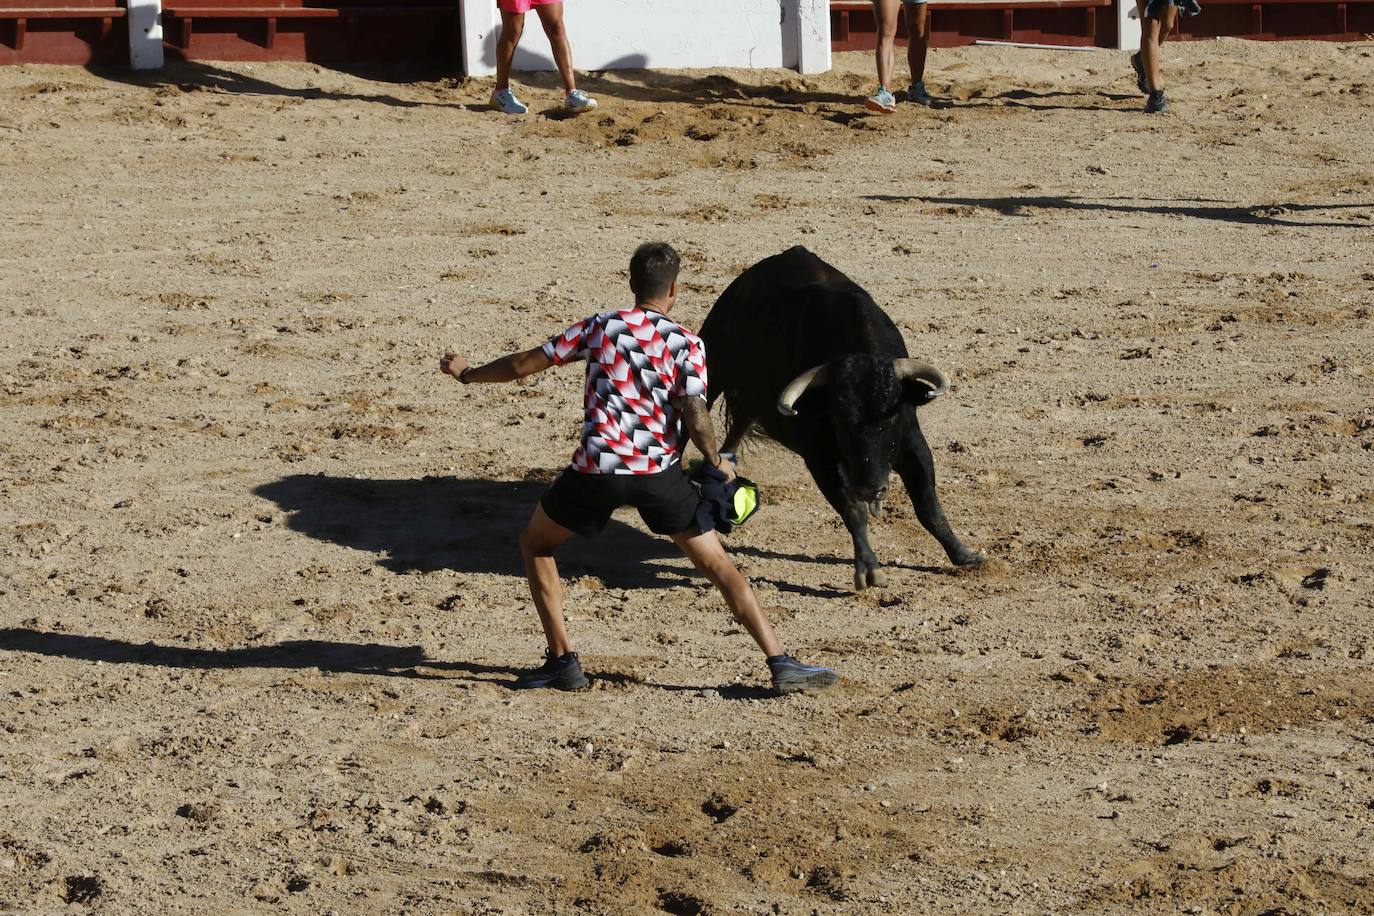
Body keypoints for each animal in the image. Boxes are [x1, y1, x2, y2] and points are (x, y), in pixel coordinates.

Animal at [697, 247, 989, 590]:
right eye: (837, 418)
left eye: (892, 416)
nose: (870, 488)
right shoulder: (819, 458)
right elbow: (853, 510)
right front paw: (869, 569)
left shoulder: (913, 444)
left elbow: (928, 506)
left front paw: (965, 555)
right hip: (713, 365)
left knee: (737, 429)